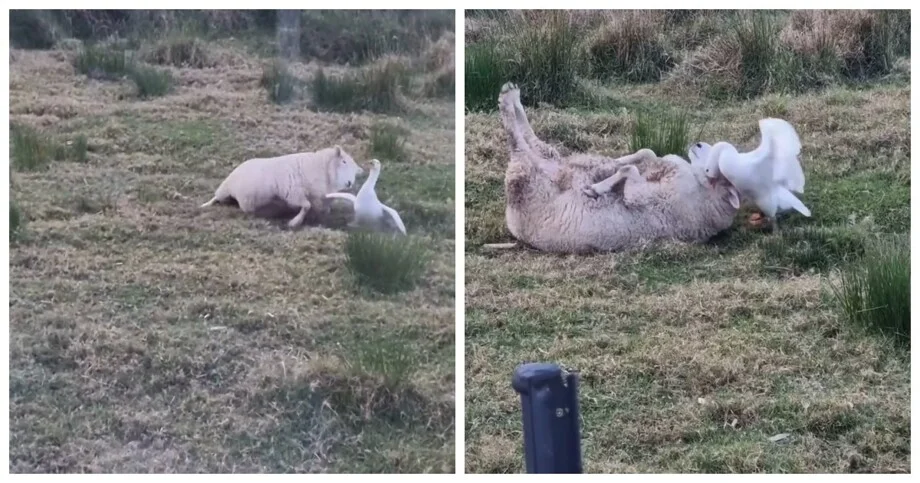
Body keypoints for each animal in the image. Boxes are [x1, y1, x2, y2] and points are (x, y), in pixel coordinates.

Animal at [200, 145, 364, 228]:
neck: (320, 167)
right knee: (215, 197)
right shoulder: (293, 193)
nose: (350, 183)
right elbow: (306, 206)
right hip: (225, 190)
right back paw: (205, 205)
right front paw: (294, 222)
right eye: (343, 162)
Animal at [497, 82, 740, 253]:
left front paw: (596, 189)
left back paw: (507, 102)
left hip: (527, 180)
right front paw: (614, 164)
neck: (705, 196)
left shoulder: (641, 196)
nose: (697, 144)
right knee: (532, 139)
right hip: (549, 158)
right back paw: (514, 96)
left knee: (518, 145)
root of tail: (512, 222)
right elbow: (646, 153)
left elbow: (630, 172)